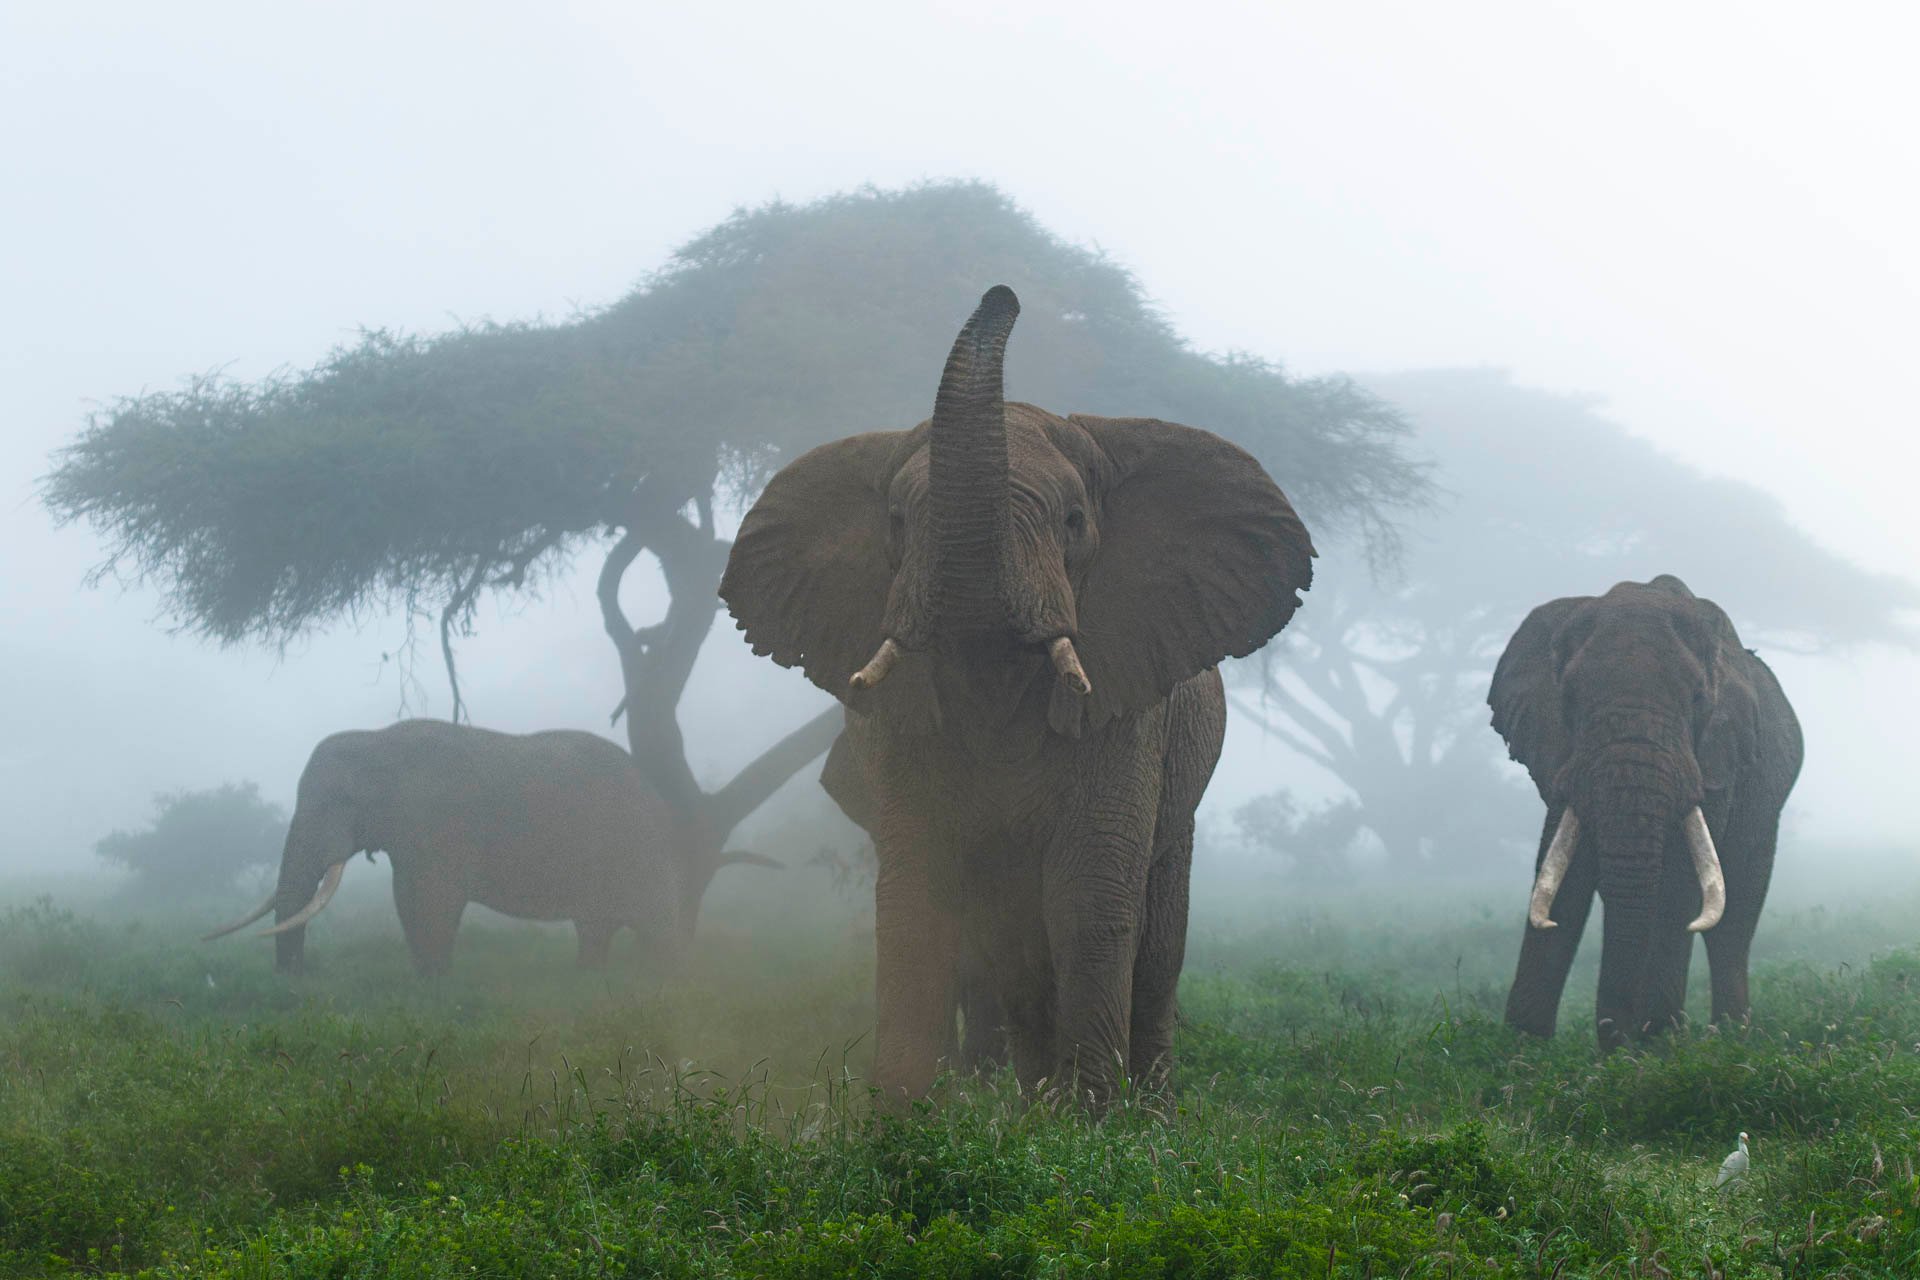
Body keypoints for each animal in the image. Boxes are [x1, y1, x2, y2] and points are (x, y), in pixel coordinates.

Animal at [206, 717, 775, 974]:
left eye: (338, 802)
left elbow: (427, 899)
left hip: (638, 851)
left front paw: (433, 983)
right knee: (595, 928)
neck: (379, 739)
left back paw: (668, 981)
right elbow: (411, 899)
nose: (293, 979)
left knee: (656, 928)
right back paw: (587, 979)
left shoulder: (437, 824)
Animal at [714, 285, 1313, 1105]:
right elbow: (919, 888)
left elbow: (1090, 893)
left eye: (1073, 521)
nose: (1004, 294)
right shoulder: (899, 725)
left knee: (1157, 942)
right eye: (896, 522)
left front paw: (1095, 1123)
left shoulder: (1127, 707)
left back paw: (1143, 1112)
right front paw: (903, 1118)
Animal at [1482, 575, 1797, 1043]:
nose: (1614, 1033)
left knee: (1734, 918)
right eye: (1568, 699)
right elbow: (1561, 876)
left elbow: (1682, 879)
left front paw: (1659, 1045)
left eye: (1698, 699)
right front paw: (1522, 1047)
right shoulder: (1563, 757)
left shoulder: (1715, 758)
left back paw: (1728, 1038)